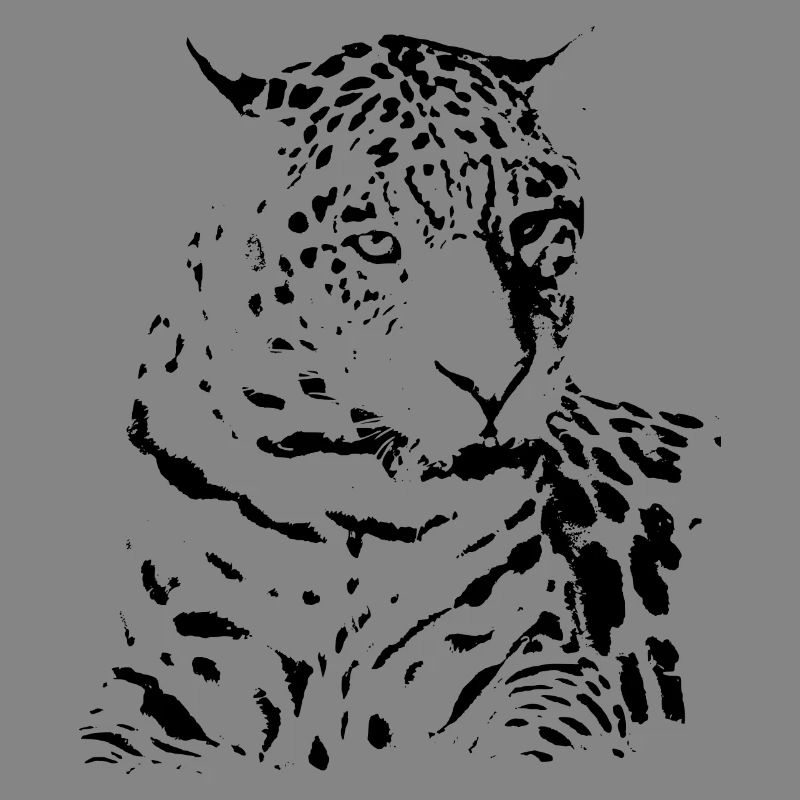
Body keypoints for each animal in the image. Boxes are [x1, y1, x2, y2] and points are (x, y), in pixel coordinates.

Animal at [79, 32, 720, 774]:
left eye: (531, 228)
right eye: (377, 244)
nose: (496, 378)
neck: (352, 494)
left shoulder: (547, 662)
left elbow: (534, 742)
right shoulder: (166, 678)